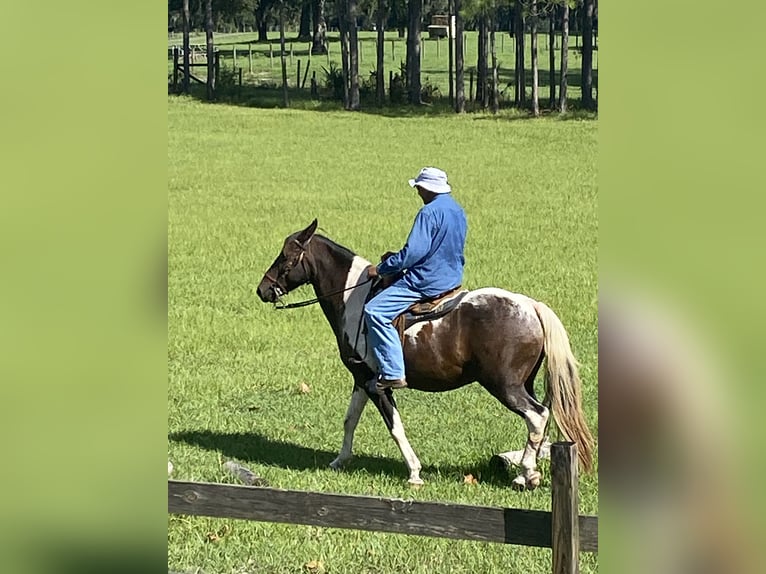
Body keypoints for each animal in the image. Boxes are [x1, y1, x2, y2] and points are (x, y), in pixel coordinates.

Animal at [256, 219, 595, 489]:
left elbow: (395, 427)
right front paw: (340, 461)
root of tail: (530, 306)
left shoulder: (377, 385)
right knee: (540, 419)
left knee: (537, 415)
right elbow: (350, 419)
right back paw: (527, 472)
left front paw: (415, 473)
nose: (263, 289)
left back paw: (527, 474)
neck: (354, 299)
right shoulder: (361, 379)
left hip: (505, 386)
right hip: (523, 383)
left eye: (286, 256)